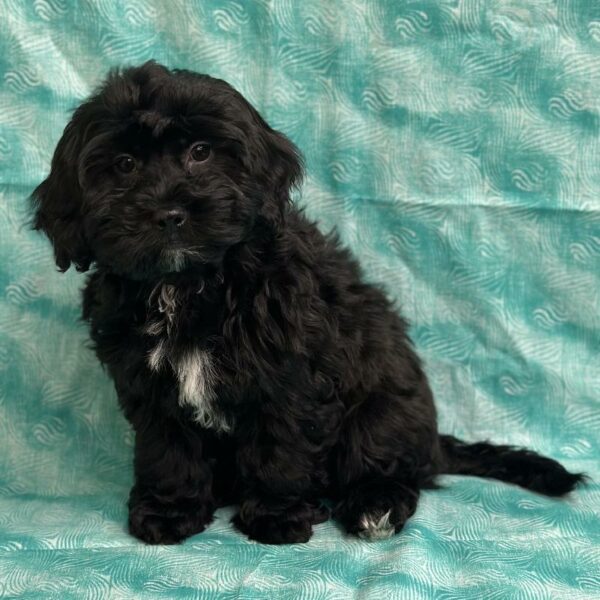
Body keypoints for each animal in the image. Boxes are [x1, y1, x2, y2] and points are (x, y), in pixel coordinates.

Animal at [30, 61, 584, 544]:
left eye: (201, 152)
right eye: (123, 165)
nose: (169, 213)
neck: (189, 282)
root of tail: (433, 443)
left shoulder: (291, 374)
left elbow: (283, 445)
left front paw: (276, 515)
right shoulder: (151, 384)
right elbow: (169, 448)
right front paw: (171, 510)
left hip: (383, 411)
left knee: (384, 462)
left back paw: (374, 505)